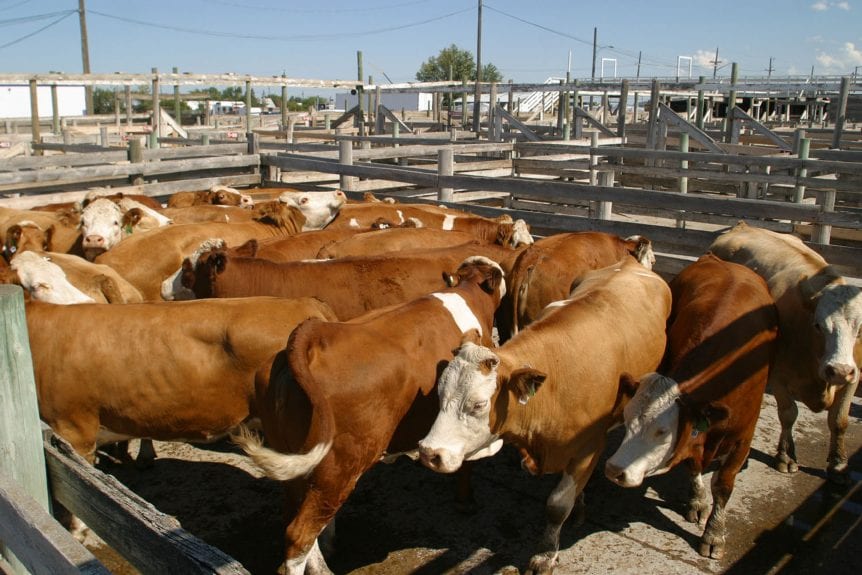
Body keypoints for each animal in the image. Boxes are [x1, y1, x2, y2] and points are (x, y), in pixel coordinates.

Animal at [232, 256, 507, 574]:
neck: (468, 294)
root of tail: (314, 337)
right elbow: (466, 461)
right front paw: (465, 500)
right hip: (341, 466)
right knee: (298, 533)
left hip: (298, 464)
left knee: (294, 516)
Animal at [417, 256, 671, 574]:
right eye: (440, 394)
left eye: (478, 405)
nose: (429, 453)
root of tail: (628, 262)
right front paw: (579, 506)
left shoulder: (590, 446)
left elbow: (557, 505)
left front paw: (545, 554)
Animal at [604, 253, 779, 560]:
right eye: (627, 421)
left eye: (662, 431)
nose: (615, 469)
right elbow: (693, 466)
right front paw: (697, 501)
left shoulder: (743, 439)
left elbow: (723, 485)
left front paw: (714, 534)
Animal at [709, 221, 862, 483]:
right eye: (818, 325)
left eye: (860, 328)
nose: (839, 370)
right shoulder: (778, 375)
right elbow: (789, 413)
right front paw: (786, 457)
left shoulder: (855, 376)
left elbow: (839, 420)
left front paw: (839, 464)